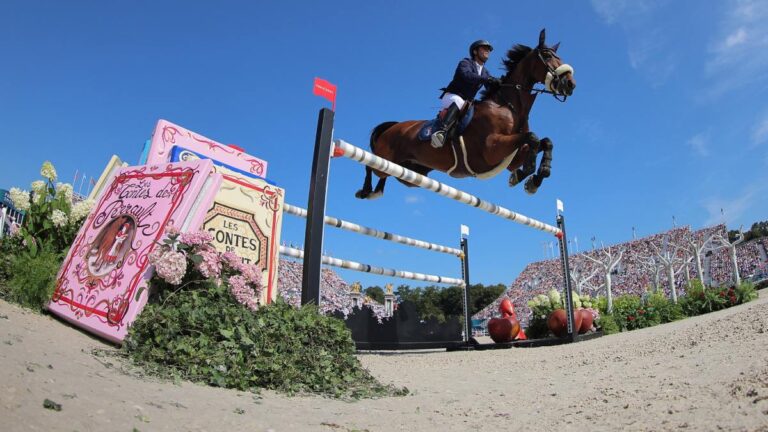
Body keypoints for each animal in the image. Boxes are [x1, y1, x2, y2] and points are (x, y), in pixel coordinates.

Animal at [356, 27, 572, 200]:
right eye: (547, 55)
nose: (570, 83)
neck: (509, 107)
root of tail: (393, 126)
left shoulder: (512, 157)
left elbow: (545, 142)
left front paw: (534, 178)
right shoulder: (492, 148)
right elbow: (532, 137)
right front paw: (525, 174)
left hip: (412, 174)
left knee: (389, 174)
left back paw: (376, 191)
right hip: (386, 155)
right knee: (372, 164)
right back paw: (366, 191)